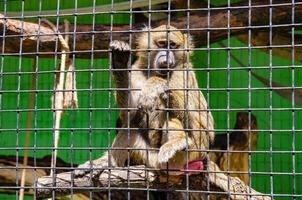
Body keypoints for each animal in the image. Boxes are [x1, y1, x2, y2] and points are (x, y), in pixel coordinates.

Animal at [75, 24, 215, 177]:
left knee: (169, 112)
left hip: (194, 152)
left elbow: (205, 124)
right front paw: (119, 60)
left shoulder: (184, 73)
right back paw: (106, 163)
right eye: (162, 44)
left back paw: (178, 142)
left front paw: (155, 84)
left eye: (172, 45)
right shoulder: (136, 71)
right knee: (131, 129)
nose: (166, 58)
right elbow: (129, 116)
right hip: (151, 156)